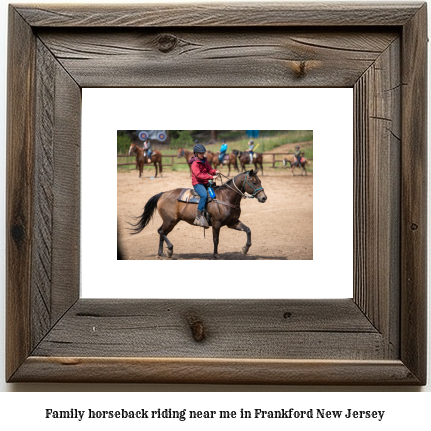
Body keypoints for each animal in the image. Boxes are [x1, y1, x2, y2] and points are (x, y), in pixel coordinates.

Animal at [130, 170, 268, 258]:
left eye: (260, 181)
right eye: (254, 182)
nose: (264, 198)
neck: (226, 197)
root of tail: (163, 194)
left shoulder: (233, 223)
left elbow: (248, 230)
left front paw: (245, 249)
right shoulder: (216, 223)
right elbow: (216, 239)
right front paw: (216, 255)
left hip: (171, 221)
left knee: (162, 232)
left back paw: (162, 253)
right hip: (170, 220)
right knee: (161, 232)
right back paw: (169, 250)